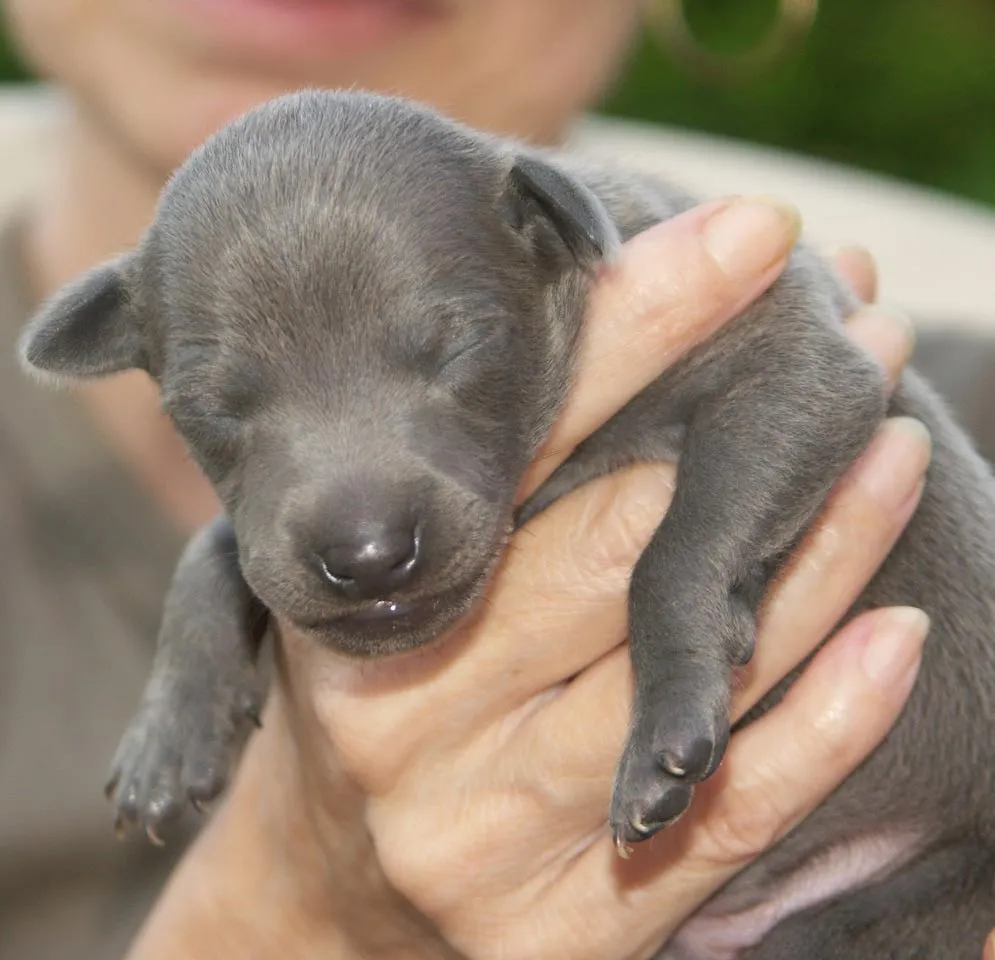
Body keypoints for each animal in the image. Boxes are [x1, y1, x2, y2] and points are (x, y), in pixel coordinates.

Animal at [15, 88, 995, 952]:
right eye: (209, 409)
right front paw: (172, 723)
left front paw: (667, 724)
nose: (366, 556)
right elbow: (213, 546)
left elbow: (674, 552)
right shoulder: (260, 524)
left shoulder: (795, 364)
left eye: (460, 349)